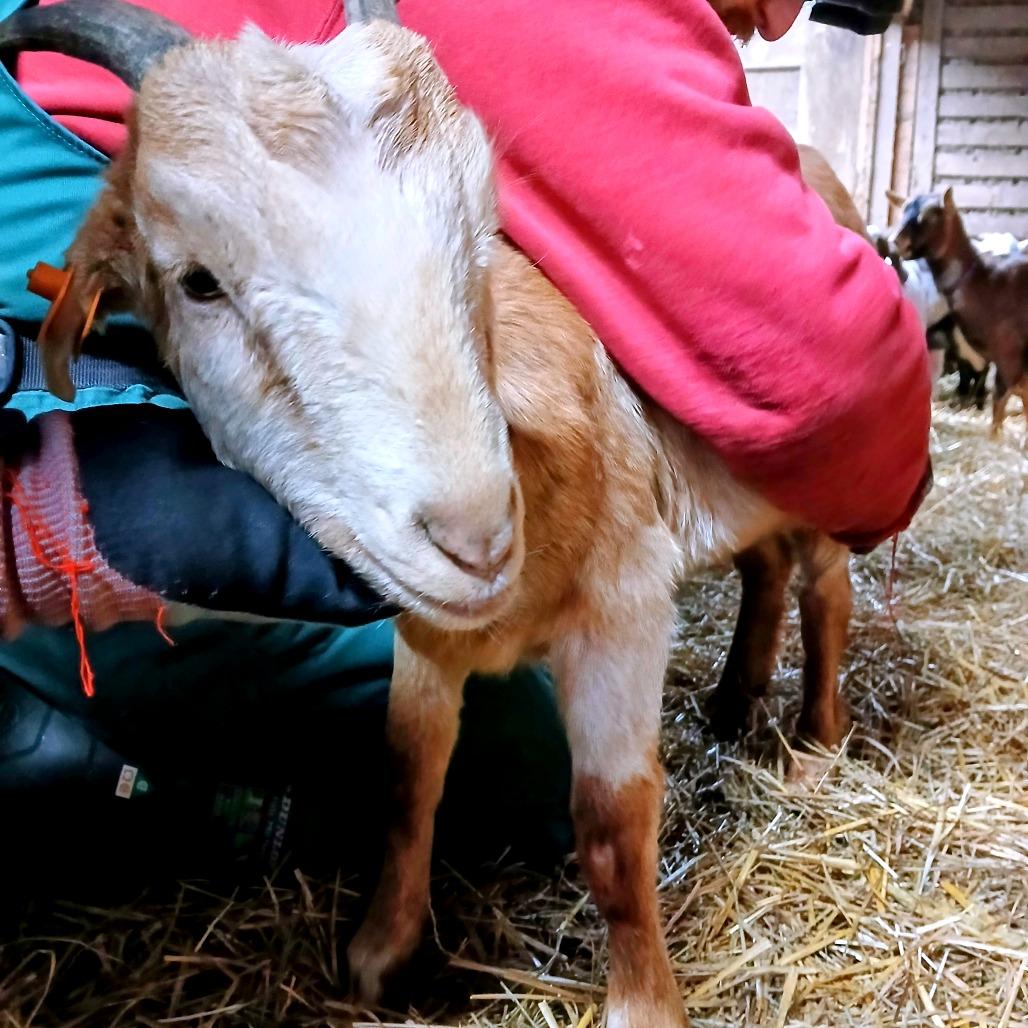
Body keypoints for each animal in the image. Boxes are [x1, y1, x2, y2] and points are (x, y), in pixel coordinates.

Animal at [893, 190, 1028, 435]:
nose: (898, 241)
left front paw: (994, 438)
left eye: (931, 215)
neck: (985, 281)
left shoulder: (1009, 353)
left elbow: (1000, 400)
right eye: (903, 209)